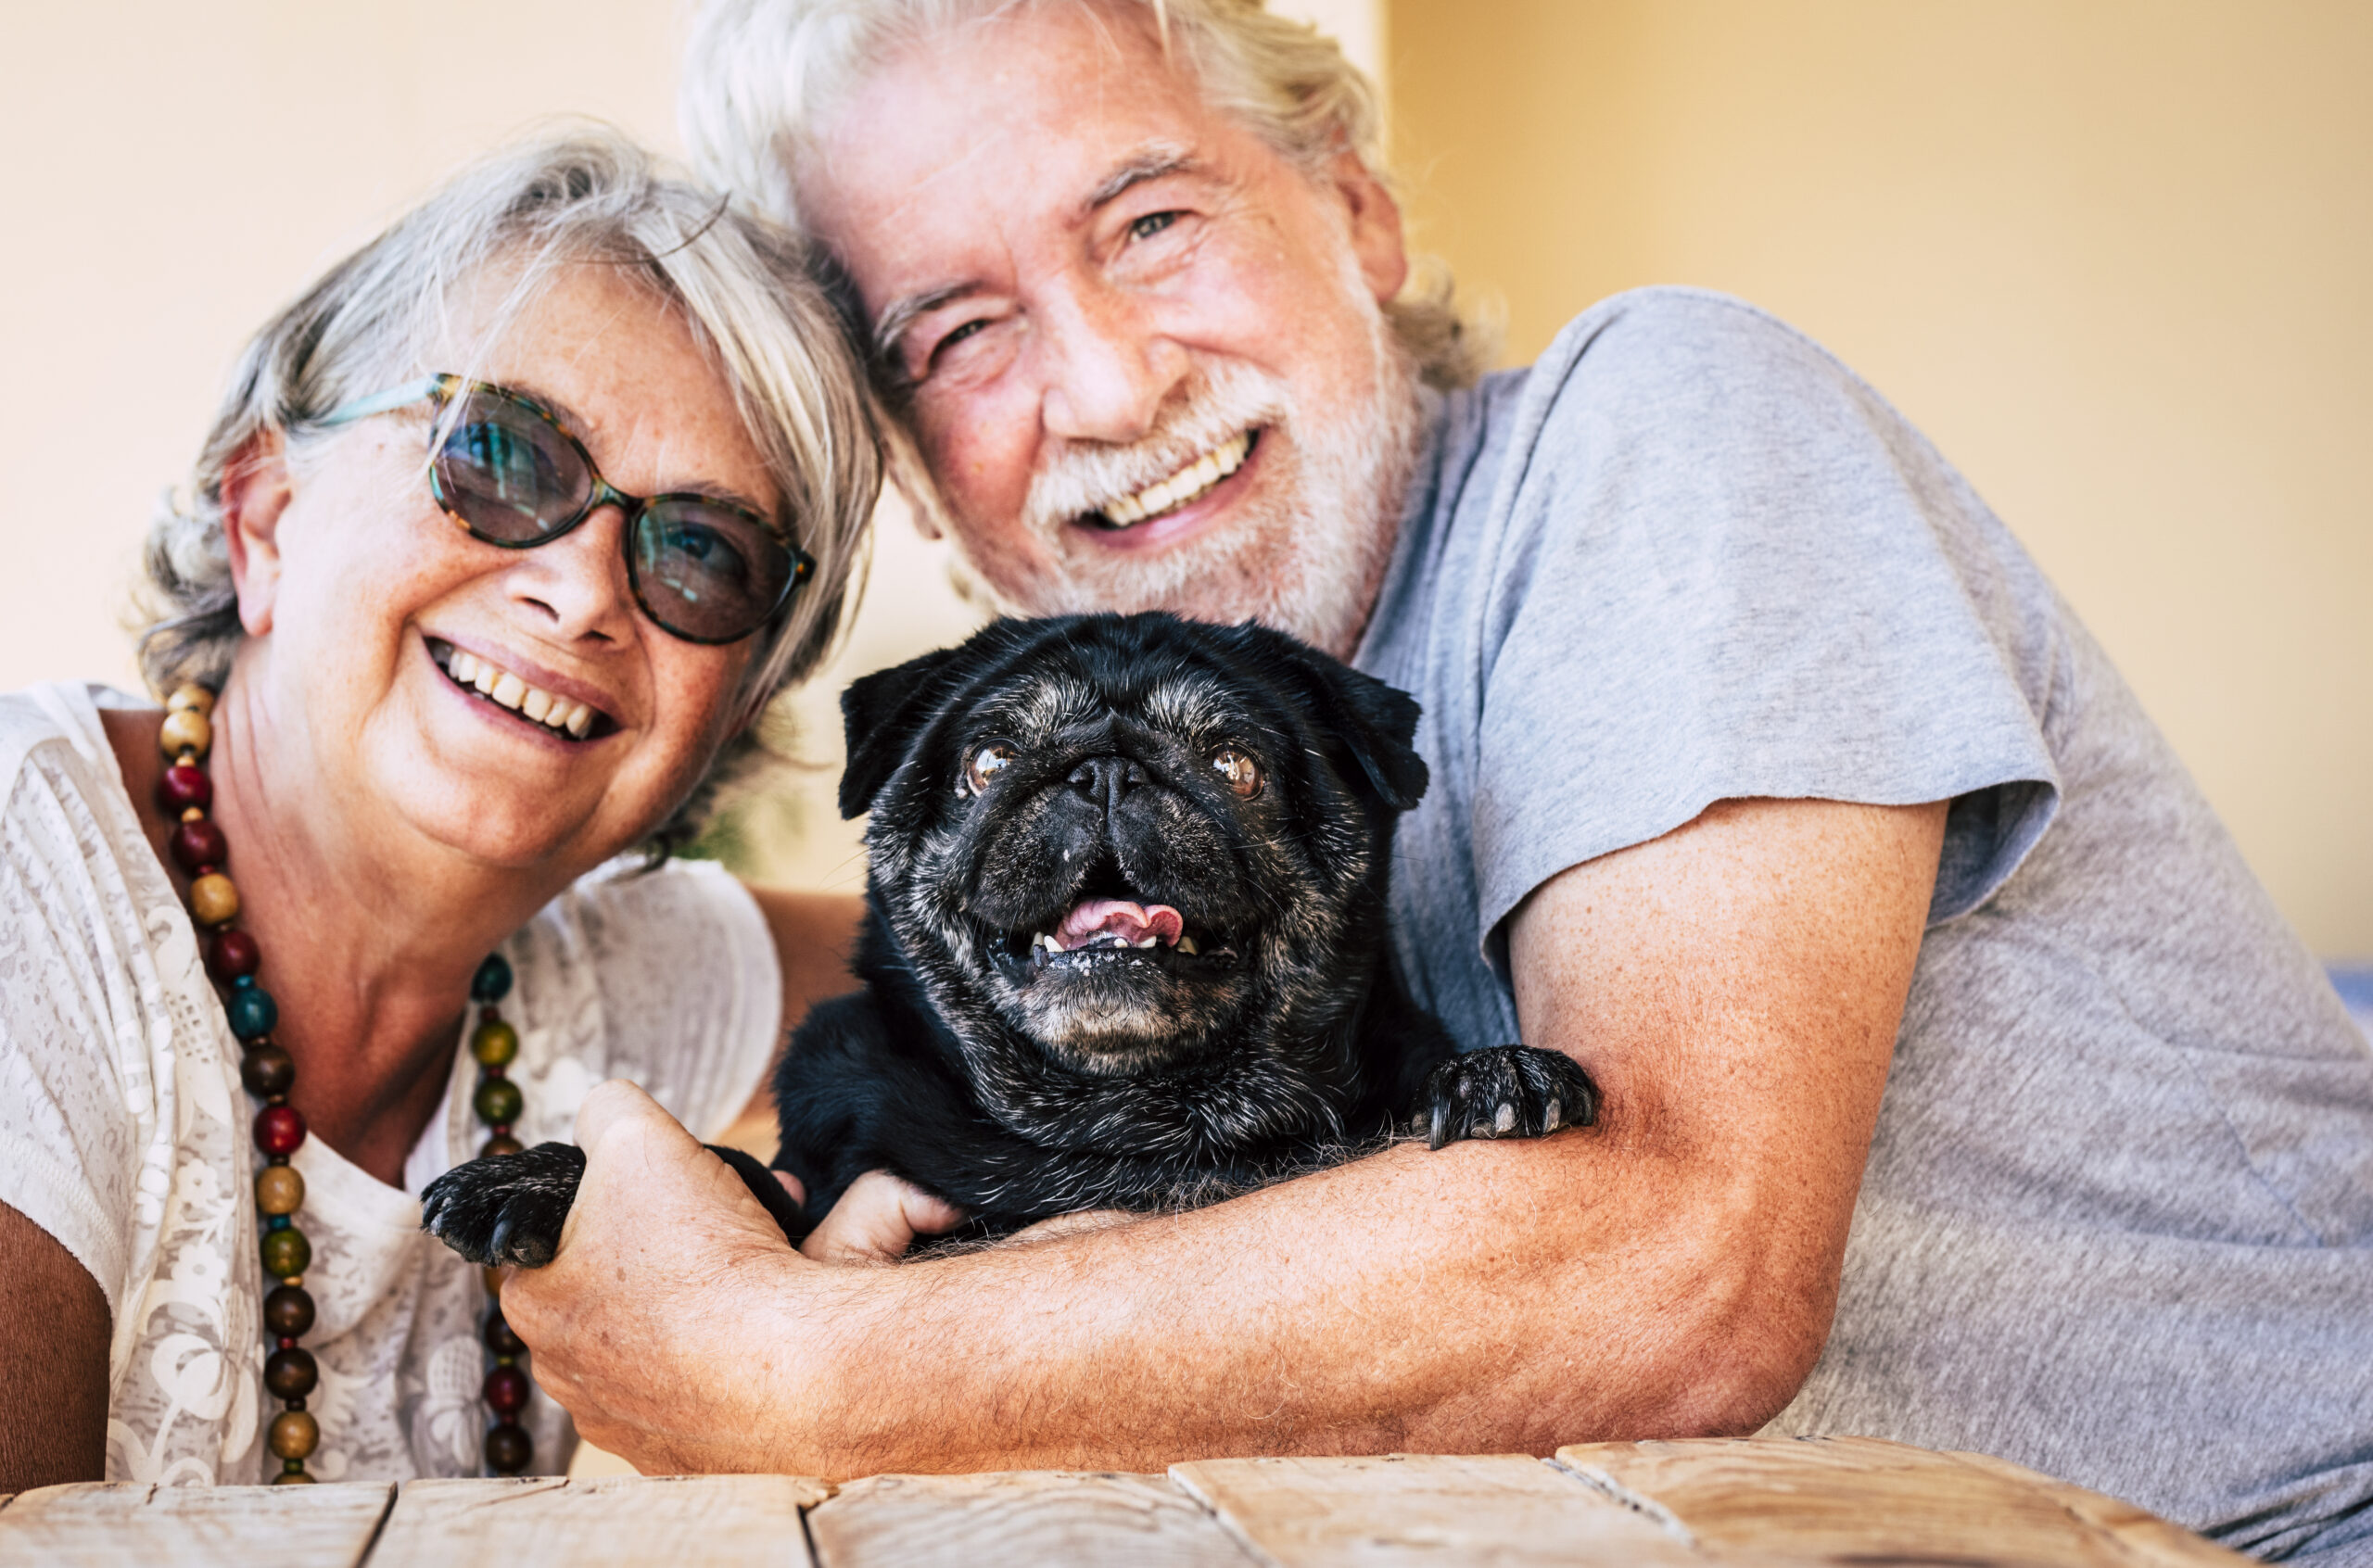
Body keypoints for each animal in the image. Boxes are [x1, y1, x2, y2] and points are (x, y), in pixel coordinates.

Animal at [426, 604, 1604, 1261]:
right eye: (988, 763)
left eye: (1234, 765)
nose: (1106, 769)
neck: (1121, 1129)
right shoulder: (820, 1192)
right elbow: (749, 1183)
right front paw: (543, 1176)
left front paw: (1493, 1074)